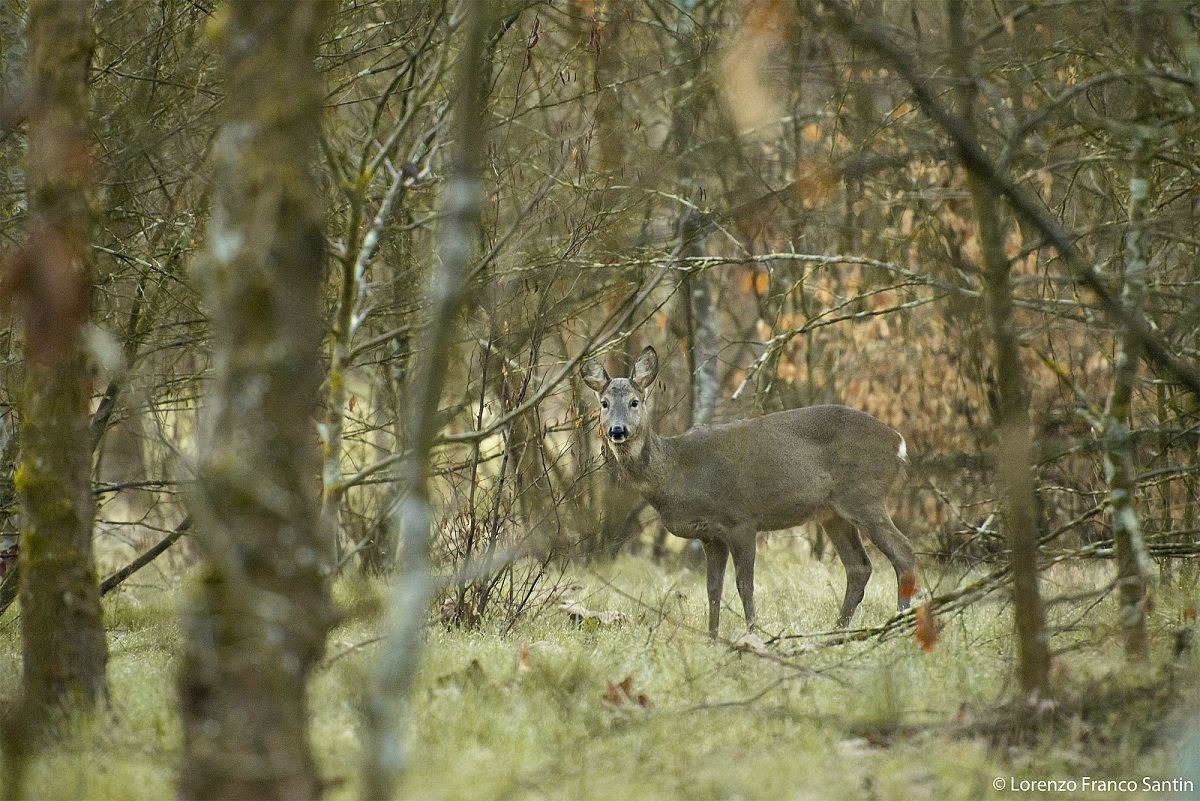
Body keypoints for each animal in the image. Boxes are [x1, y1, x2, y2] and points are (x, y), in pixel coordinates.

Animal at [581, 345, 916, 638]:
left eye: (635, 402)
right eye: (604, 403)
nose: (618, 431)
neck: (676, 472)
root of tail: (898, 443)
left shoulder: (740, 519)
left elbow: (745, 585)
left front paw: (752, 634)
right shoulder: (710, 535)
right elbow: (712, 589)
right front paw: (712, 638)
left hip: (864, 494)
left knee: (903, 551)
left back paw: (900, 622)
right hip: (832, 513)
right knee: (859, 566)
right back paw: (838, 630)